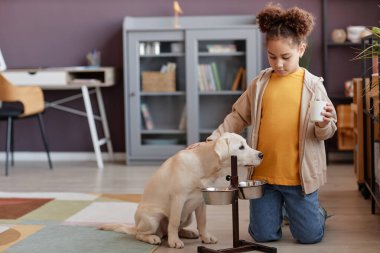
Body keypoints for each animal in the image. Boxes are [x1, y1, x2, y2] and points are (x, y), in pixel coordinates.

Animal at [99, 133, 262, 248]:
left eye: (246, 144)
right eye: (241, 147)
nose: (261, 154)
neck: (203, 164)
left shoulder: (201, 200)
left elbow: (202, 221)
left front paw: (206, 237)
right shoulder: (178, 198)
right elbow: (174, 221)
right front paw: (174, 242)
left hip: (188, 216)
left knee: (172, 229)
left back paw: (187, 232)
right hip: (152, 218)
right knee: (141, 234)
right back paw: (153, 237)